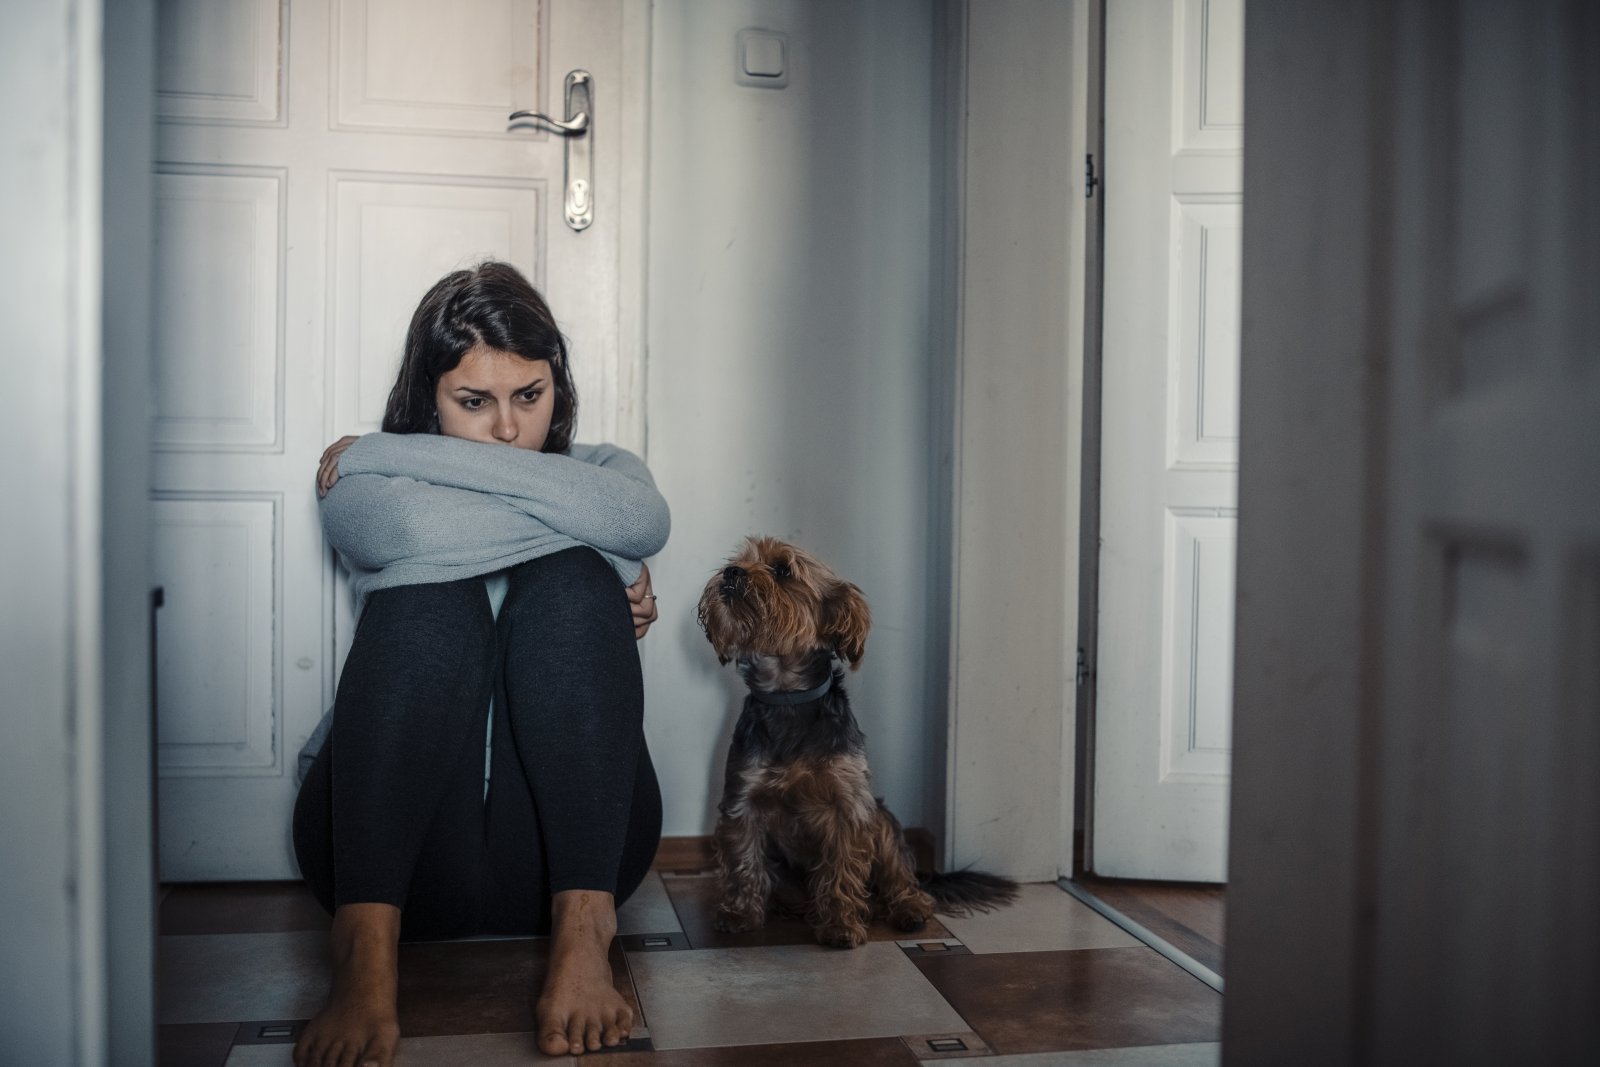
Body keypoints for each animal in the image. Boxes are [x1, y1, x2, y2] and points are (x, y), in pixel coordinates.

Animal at [697, 537, 1017, 947]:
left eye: (782, 569)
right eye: (739, 560)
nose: (730, 572)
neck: (787, 697)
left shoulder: (847, 806)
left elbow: (841, 868)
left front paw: (840, 925)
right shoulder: (743, 800)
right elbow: (744, 862)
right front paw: (739, 914)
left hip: (882, 819)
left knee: (903, 880)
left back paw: (909, 909)